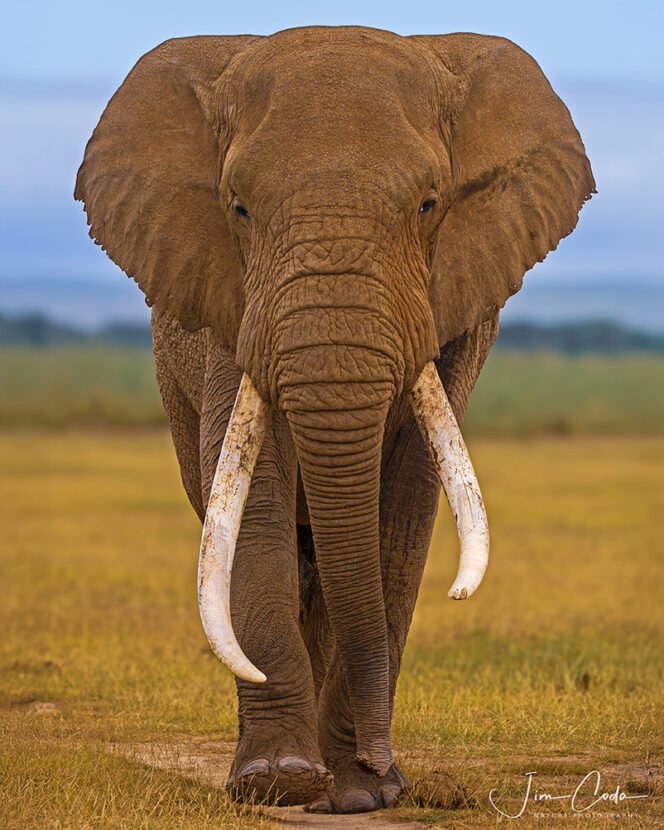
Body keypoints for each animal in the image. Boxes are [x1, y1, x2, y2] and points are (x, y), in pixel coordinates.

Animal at [76, 26, 593, 814]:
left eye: (429, 204)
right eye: (237, 209)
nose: (382, 768)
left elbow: (403, 503)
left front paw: (361, 792)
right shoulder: (230, 302)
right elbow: (254, 498)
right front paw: (279, 783)